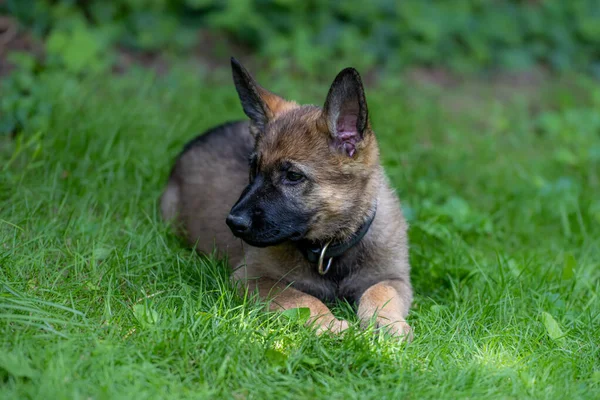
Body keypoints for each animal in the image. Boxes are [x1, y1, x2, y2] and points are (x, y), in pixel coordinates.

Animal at [159, 57, 412, 338]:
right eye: (253, 168)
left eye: (292, 176)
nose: (234, 222)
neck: (329, 250)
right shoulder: (252, 277)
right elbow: (301, 298)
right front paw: (330, 324)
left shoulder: (394, 278)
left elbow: (380, 291)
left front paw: (387, 322)